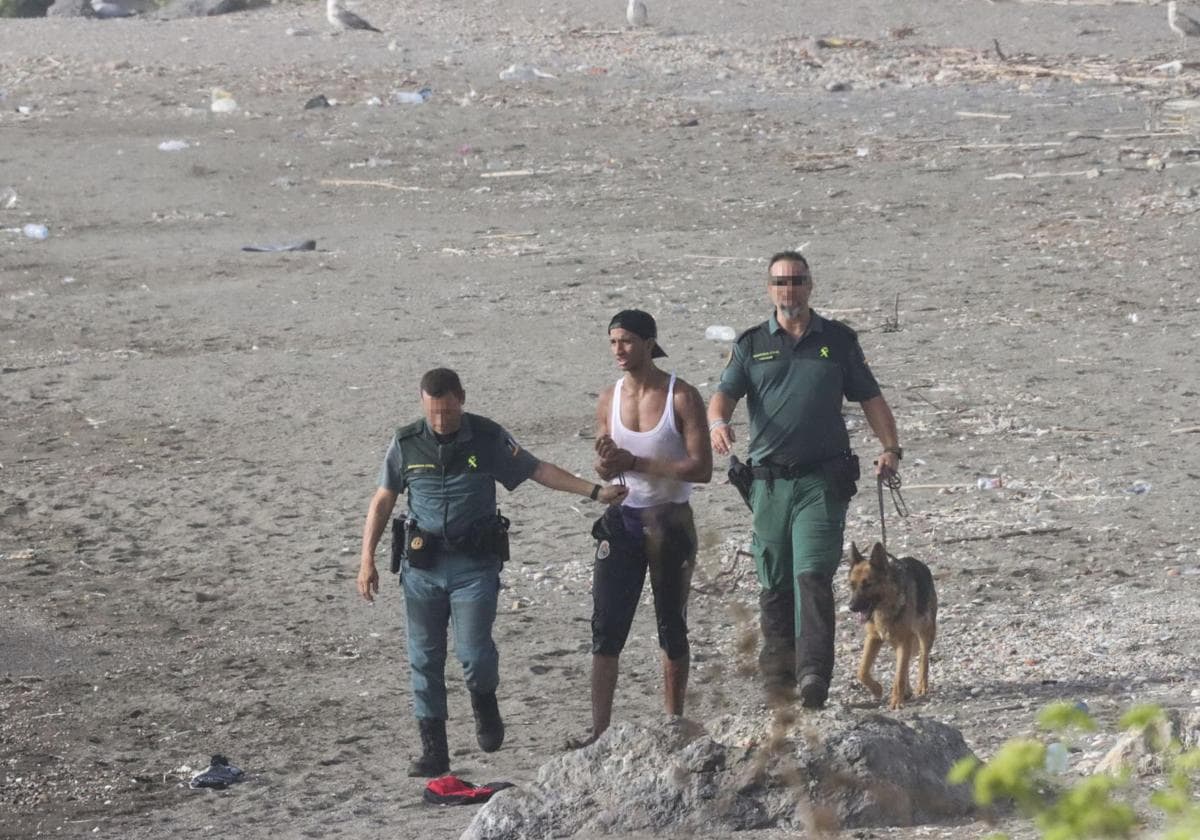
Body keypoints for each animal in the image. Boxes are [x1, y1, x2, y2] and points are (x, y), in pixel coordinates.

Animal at [844, 544, 936, 710]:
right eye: (852, 585)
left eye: (867, 584)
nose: (851, 607)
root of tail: (916, 561)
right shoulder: (874, 638)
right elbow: (862, 671)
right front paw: (877, 689)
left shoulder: (904, 640)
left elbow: (898, 676)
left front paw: (896, 701)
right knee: (906, 664)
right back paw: (907, 690)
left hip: (925, 632)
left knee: (923, 659)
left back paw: (921, 686)